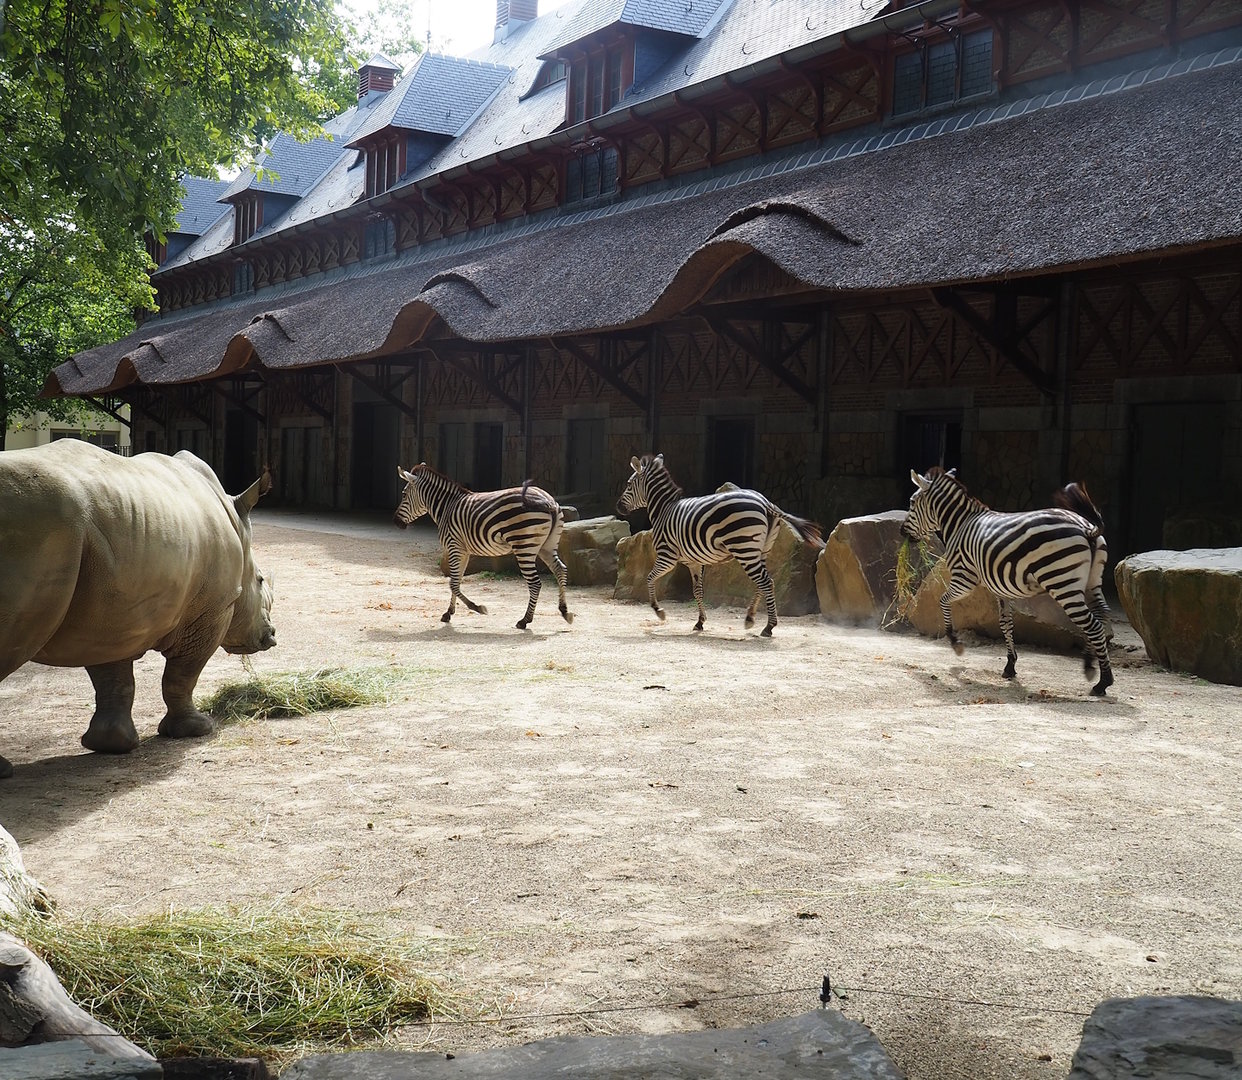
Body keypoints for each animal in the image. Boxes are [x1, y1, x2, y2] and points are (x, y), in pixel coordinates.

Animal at [0, 440, 276, 778]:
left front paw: (111, 744)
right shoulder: (211, 611)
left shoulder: (112, 609)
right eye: (260, 580)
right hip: (39, 525)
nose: (270, 634)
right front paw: (198, 729)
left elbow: (114, 678)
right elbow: (182, 675)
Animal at [393, 464, 573, 630]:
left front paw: (477, 608)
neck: (447, 507)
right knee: (560, 569)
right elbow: (456, 581)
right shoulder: (463, 551)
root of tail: (548, 501)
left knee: (535, 583)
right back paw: (564, 611)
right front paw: (449, 613)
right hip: (546, 546)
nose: (396, 522)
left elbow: (453, 583)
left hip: (524, 546)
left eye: (403, 495)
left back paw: (525, 620)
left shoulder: (454, 547)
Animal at [616, 453, 825, 636]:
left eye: (628, 485)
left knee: (765, 582)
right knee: (764, 582)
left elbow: (650, 578)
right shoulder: (694, 561)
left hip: (745, 549)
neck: (663, 510)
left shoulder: (667, 557)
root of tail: (767, 503)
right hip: (761, 550)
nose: (618, 507)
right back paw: (750, 619)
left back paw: (768, 627)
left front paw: (659, 611)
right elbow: (697, 590)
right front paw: (700, 622)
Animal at [902, 466, 1113, 695]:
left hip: (1062, 583)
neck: (960, 524)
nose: (902, 532)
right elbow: (1006, 623)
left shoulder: (964, 578)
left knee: (1092, 625)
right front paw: (1010, 666)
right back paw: (1091, 663)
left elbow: (943, 601)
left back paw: (1103, 681)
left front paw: (954, 641)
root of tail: (1087, 528)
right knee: (1102, 616)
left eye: (912, 502)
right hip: (1092, 582)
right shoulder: (1001, 589)